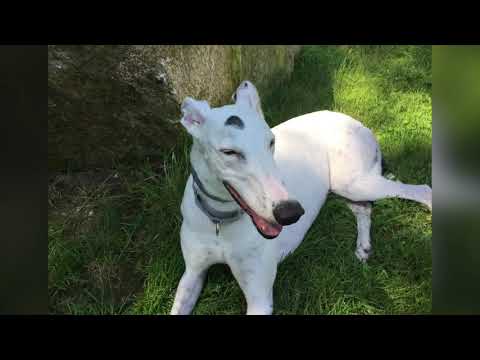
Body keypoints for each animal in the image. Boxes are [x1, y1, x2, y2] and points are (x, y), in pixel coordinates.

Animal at [171, 80, 434, 314]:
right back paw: (363, 247)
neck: (220, 221)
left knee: (422, 190)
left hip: (355, 183)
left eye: (271, 142)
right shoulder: (192, 273)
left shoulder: (259, 296)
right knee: (363, 207)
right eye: (229, 152)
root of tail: (355, 121)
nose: (290, 212)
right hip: (348, 185)